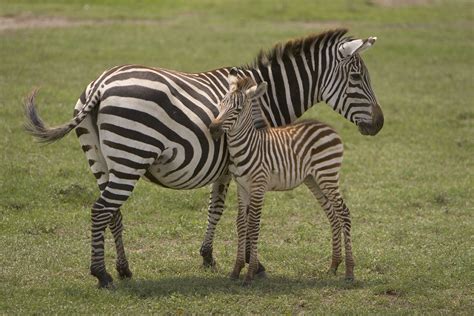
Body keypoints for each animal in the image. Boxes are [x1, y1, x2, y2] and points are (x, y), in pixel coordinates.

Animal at [209, 69, 354, 286]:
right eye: (220, 105)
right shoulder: (241, 187)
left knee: (343, 212)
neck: (247, 146)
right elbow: (241, 224)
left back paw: (350, 272)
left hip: (327, 175)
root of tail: (328, 127)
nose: (213, 129)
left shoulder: (258, 186)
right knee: (332, 213)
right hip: (313, 179)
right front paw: (236, 270)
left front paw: (250, 274)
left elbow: (253, 224)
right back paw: (334, 266)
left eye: (238, 109)